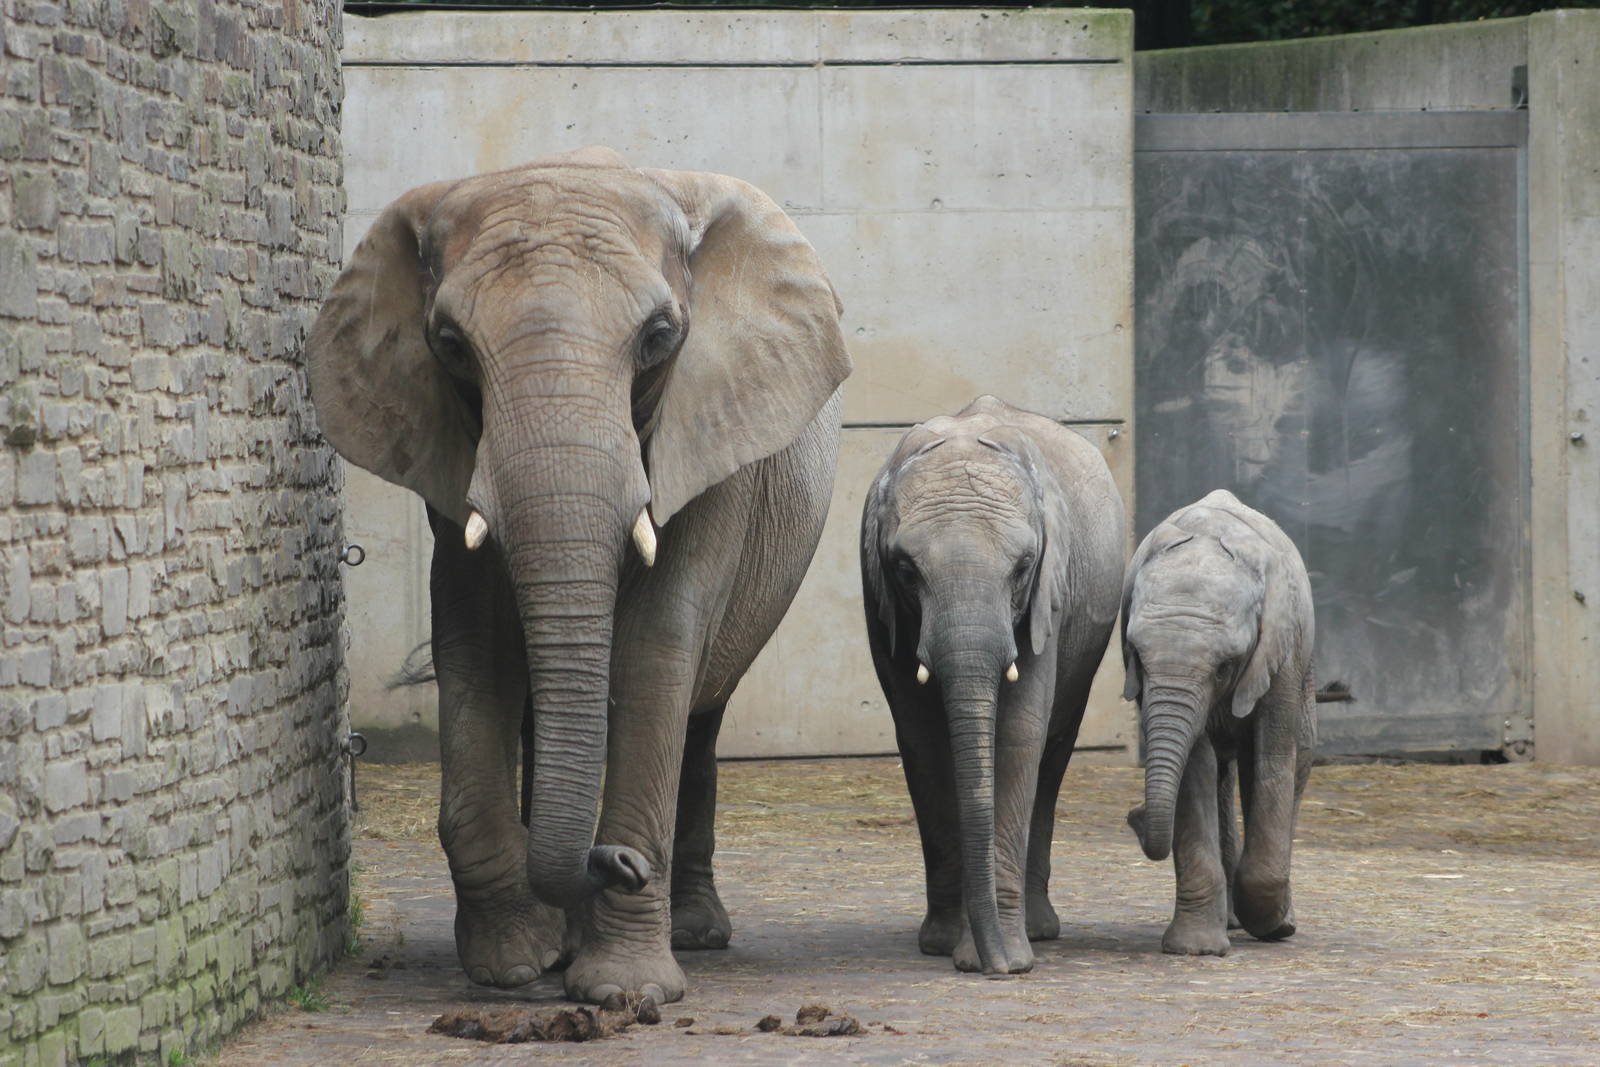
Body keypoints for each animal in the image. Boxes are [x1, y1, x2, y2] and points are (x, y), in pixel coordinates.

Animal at [306, 147, 850, 1004]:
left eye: (659, 337)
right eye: (450, 344)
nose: (614, 862)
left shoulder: (711, 432)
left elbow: (658, 646)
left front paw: (624, 991)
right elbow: (473, 640)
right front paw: (512, 963)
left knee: (700, 711)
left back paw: (693, 931)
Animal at [860, 396, 1126, 975]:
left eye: (1023, 567)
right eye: (905, 570)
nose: (998, 965)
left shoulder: (1049, 596)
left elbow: (1019, 734)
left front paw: (1008, 956)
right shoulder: (878, 598)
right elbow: (922, 740)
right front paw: (948, 946)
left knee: (1053, 755)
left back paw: (1038, 930)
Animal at [1120, 489, 1317, 956]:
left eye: (1225, 667)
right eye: (1137, 656)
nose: (1134, 814)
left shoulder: (1280, 655)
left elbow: (1270, 759)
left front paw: (1272, 925)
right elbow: (1195, 769)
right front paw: (1197, 950)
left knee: (1293, 763)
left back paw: (1275, 922)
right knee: (1221, 777)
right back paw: (1230, 922)